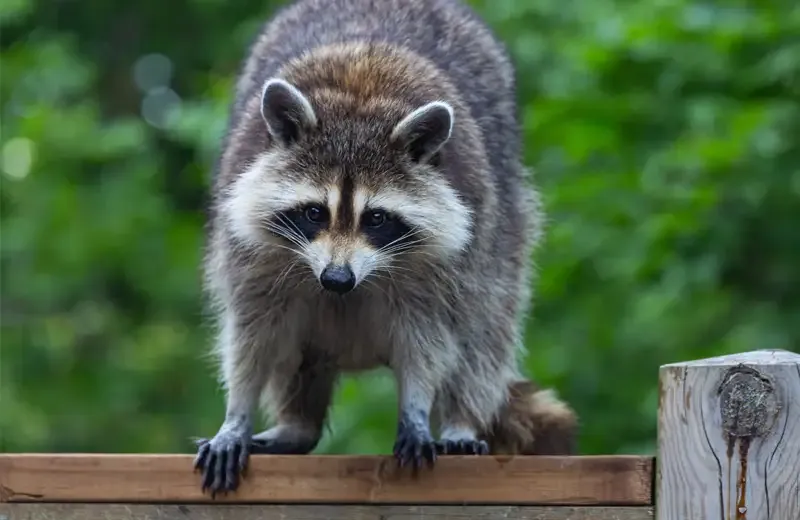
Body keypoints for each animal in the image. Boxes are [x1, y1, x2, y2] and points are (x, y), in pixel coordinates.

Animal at [196, 0, 580, 494]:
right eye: (314, 213)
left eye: (375, 218)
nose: (337, 279)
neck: (360, 97)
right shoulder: (251, 251)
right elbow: (253, 334)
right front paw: (236, 414)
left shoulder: (447, 262)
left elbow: (429, 335)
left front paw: (416, 408)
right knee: (295, 355)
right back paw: (298, 424)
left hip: (505, 227)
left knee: (485, 327)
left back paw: (461, 419)